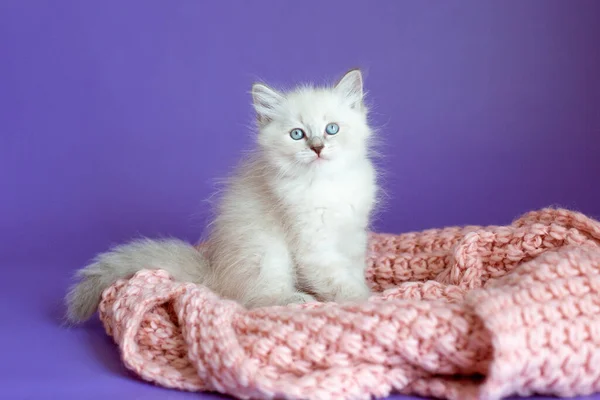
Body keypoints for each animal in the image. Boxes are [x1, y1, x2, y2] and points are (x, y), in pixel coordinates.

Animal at [65, 69, 376, 322]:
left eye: (331, 129)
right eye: (297, 134)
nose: (317, 147)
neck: (326, 184)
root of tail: (212, 274)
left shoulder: (353, 235)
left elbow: (352, 271)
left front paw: (367, 292)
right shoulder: (313, 247)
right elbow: (339, 281)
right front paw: (367, 300)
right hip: (266, 254)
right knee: (257, 301)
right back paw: (298, 299)